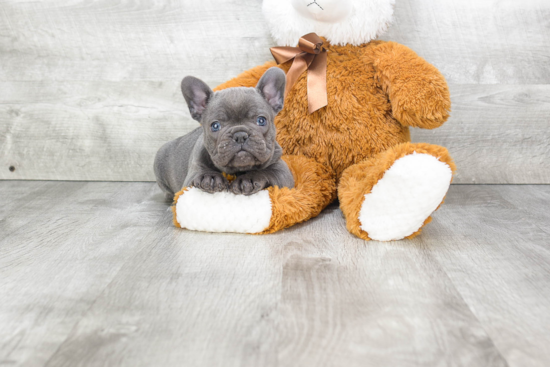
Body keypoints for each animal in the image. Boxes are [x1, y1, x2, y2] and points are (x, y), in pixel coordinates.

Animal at [153, 67, 296, 200]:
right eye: (215, 126)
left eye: (261, 120)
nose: (240, 135)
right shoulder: (192, 176)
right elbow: (200, 174)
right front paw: (210, 177)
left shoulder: (283, 173)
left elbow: (267, 172)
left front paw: (248, 179)